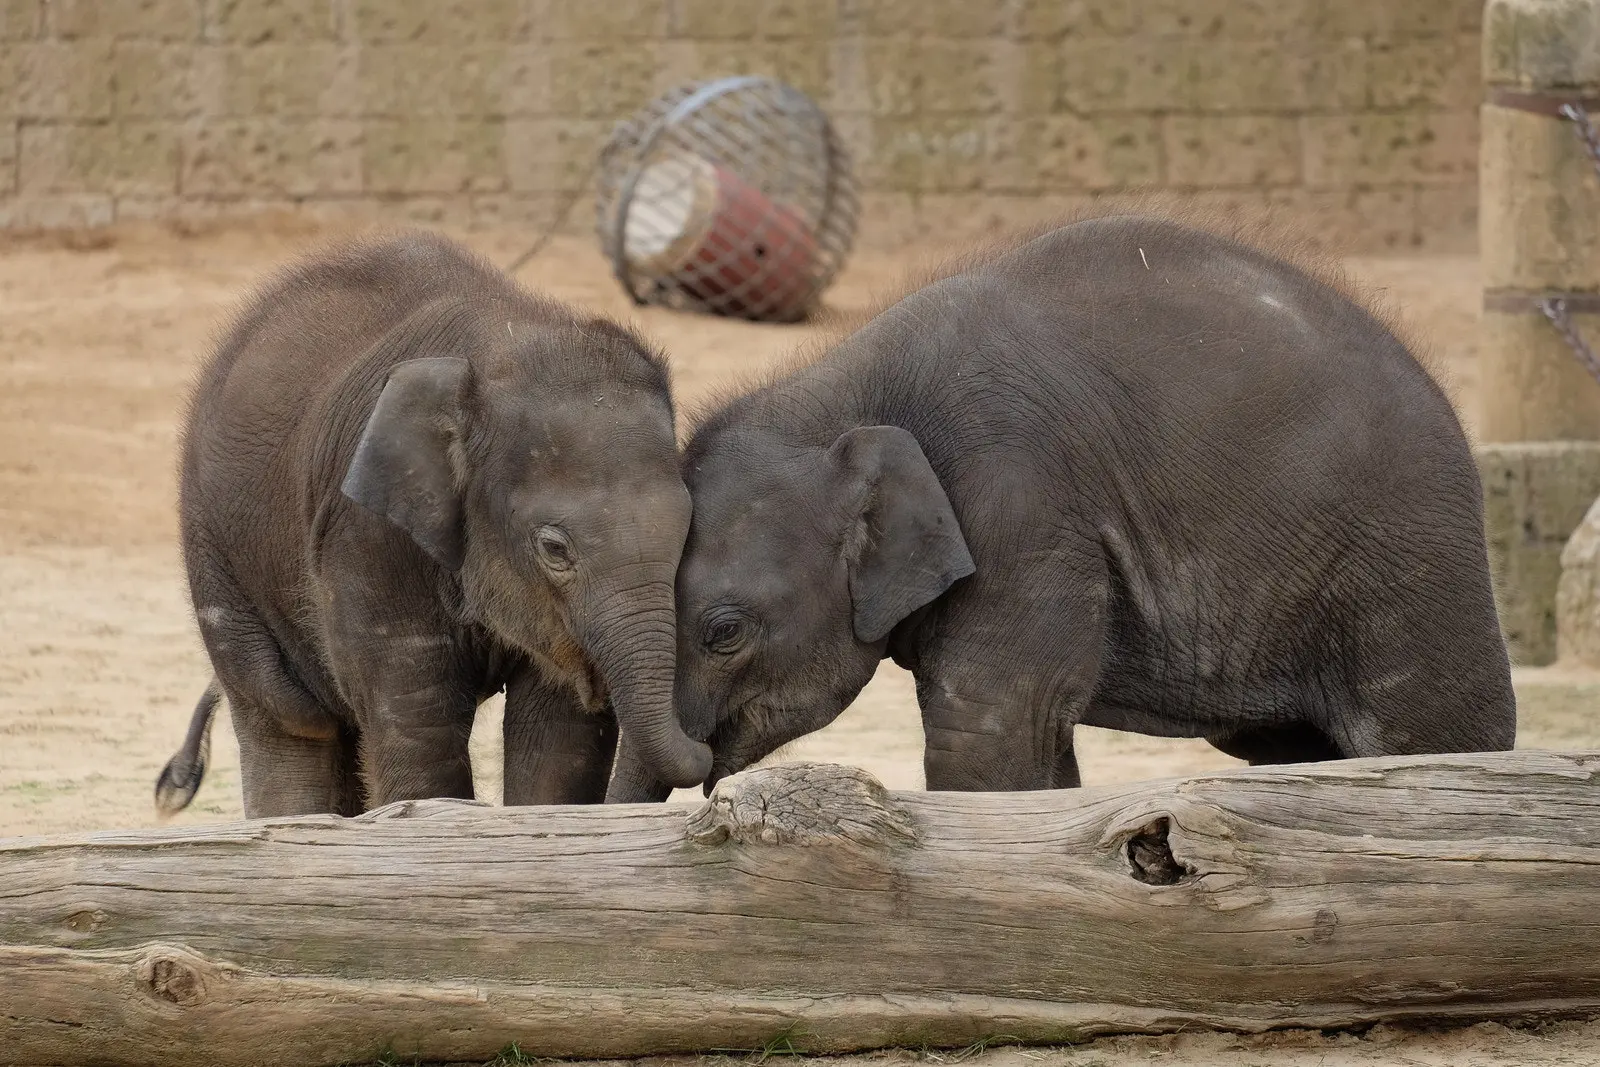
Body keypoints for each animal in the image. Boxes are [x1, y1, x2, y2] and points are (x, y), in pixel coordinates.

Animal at [155, 230, 710, 819]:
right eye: (554, 548)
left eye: (686, 531)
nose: (704, 748)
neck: (508, 339)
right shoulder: (366, 529)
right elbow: (419, 724)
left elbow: (560, 735)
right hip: (215, 547)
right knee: (289, 719)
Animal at [606, 211, 1516, 801]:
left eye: (724, 631)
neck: (844, 384)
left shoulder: (1020, 507)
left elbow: (990, 730)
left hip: (1407, 565)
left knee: (1436, 735)